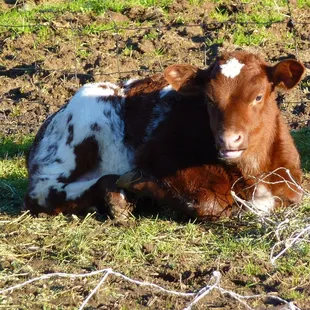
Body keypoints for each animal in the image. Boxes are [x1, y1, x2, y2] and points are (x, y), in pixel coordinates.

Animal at [24, 50, 306, 220]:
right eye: (209, 99)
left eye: (258, 96)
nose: (228, 140)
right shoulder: (161, 156)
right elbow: (210, 202)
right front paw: (136, 182)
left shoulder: (293, 180)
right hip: (82, 117)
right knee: (42, 193)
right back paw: (114, 195)